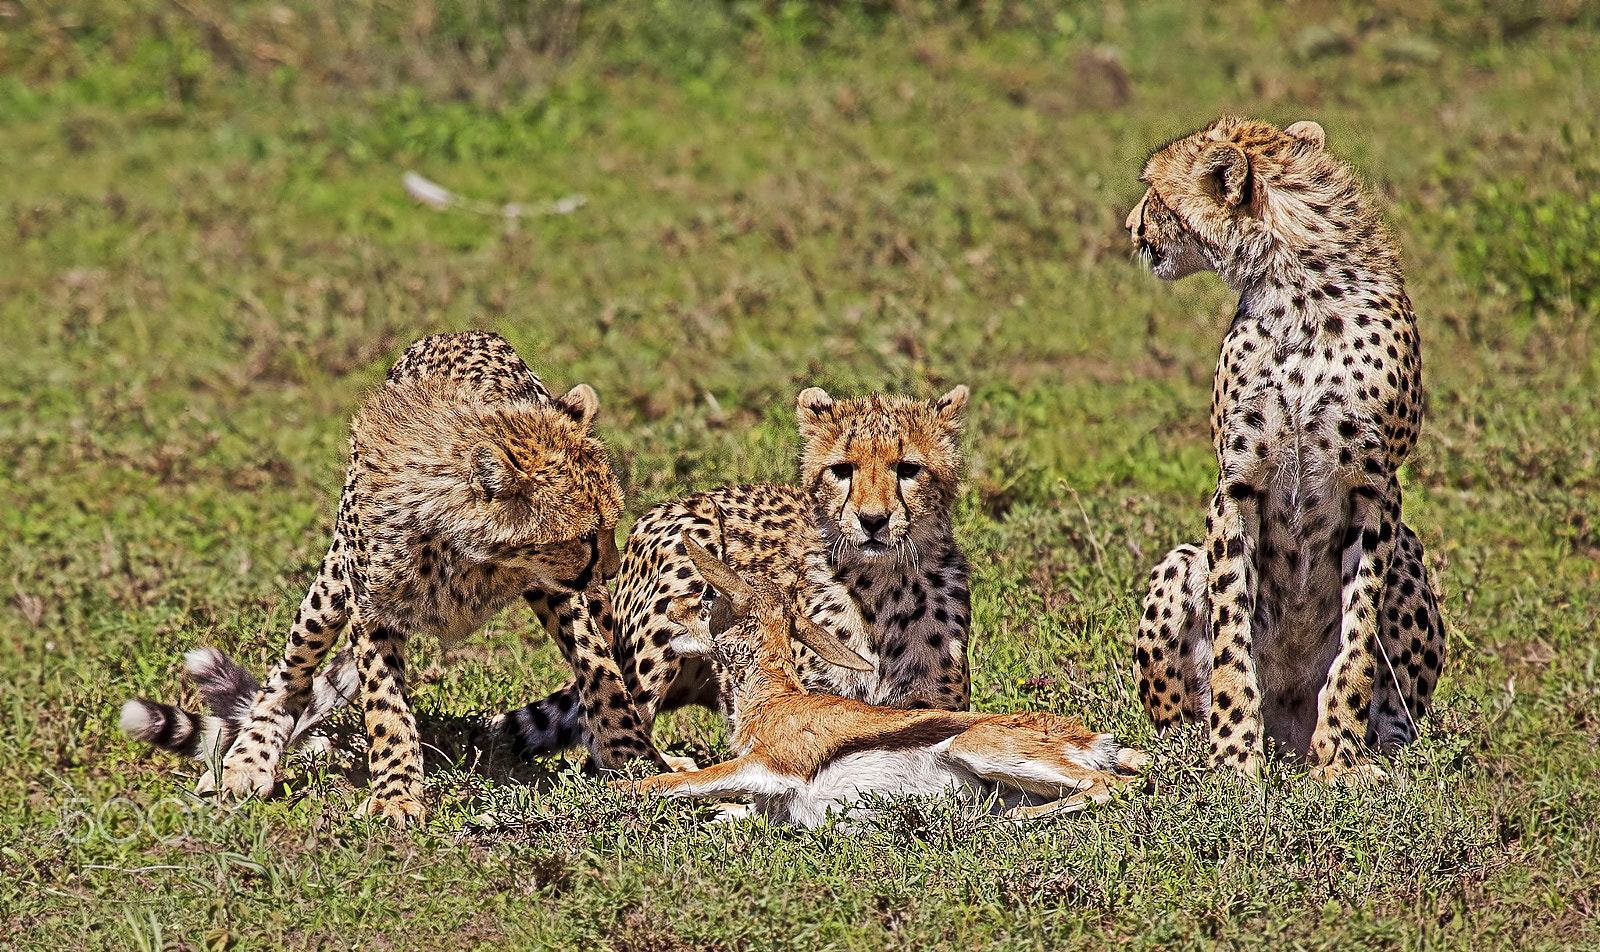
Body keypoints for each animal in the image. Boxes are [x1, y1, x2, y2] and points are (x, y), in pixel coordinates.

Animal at [120, 331, 662, 825]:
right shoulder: (370, 609)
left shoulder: (559, 592)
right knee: (291, 673)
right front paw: (397, 793)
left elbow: (600, 671)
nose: (612, 569)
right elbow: (386, 707)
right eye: (587, 536)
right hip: (331, 583)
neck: (470, 551)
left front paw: (632, 757)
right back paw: (248, 759)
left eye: (611, 525)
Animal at [614, 540, 1152, 832]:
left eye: (707, 596)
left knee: (1109, 786)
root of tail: (1091, 738)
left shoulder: (768, 768)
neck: (773, 702)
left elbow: (665, 782)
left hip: (978, 748)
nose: (669, 617)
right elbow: (719, 810)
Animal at [1126, 115, 1452, 780]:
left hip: (1407, 552)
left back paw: (1377, 760)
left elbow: (1357, 642)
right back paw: (1193, 754)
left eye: (1153, 191)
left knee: (1398, 715)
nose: (1130, 227)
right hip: (1179, 564)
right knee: (1175, 719)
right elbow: (1231, 630)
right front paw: (1233, 755)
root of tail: (1289, 738)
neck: (1298, 291)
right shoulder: (1237, 482)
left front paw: (1342, 759)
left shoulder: (1375, 492)